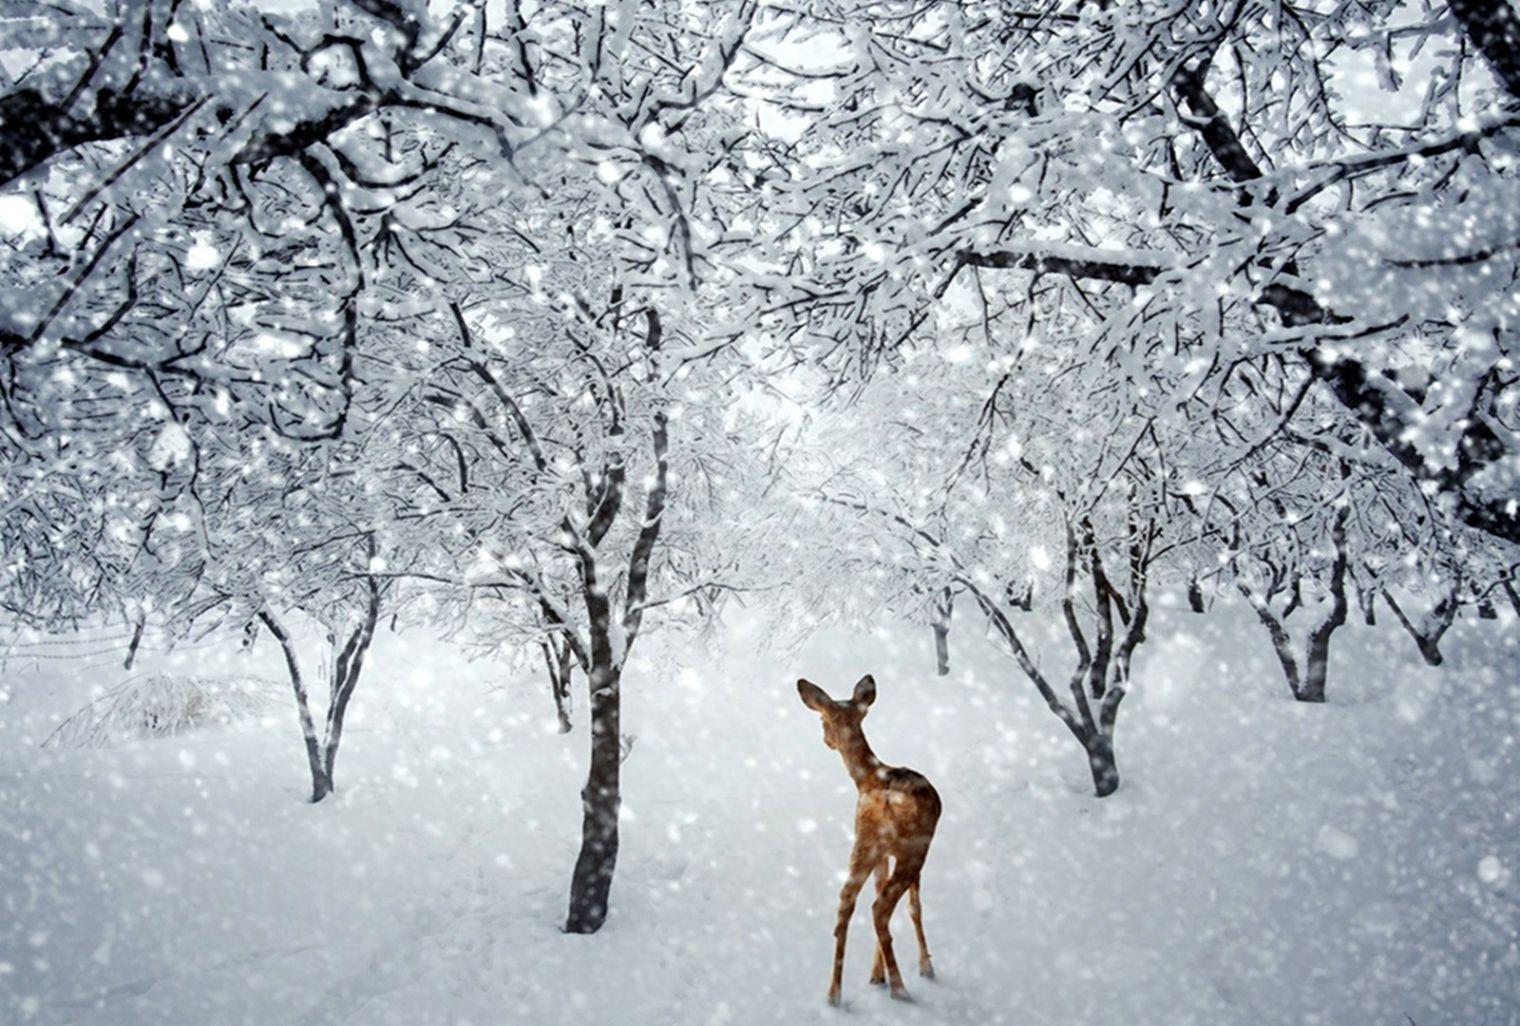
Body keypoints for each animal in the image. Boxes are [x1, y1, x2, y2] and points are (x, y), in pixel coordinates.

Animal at [797, 674, 942, 1006]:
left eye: (823, 720)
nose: (826, 739)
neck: (866, 776)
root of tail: (884, 797)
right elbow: (915, 907)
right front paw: (925, 967)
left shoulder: (882, 853)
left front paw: (876, 975)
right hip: (913, 849)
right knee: (880, 907)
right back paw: (900, 988)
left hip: (864, 841)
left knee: (847, 900)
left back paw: (834, 993)